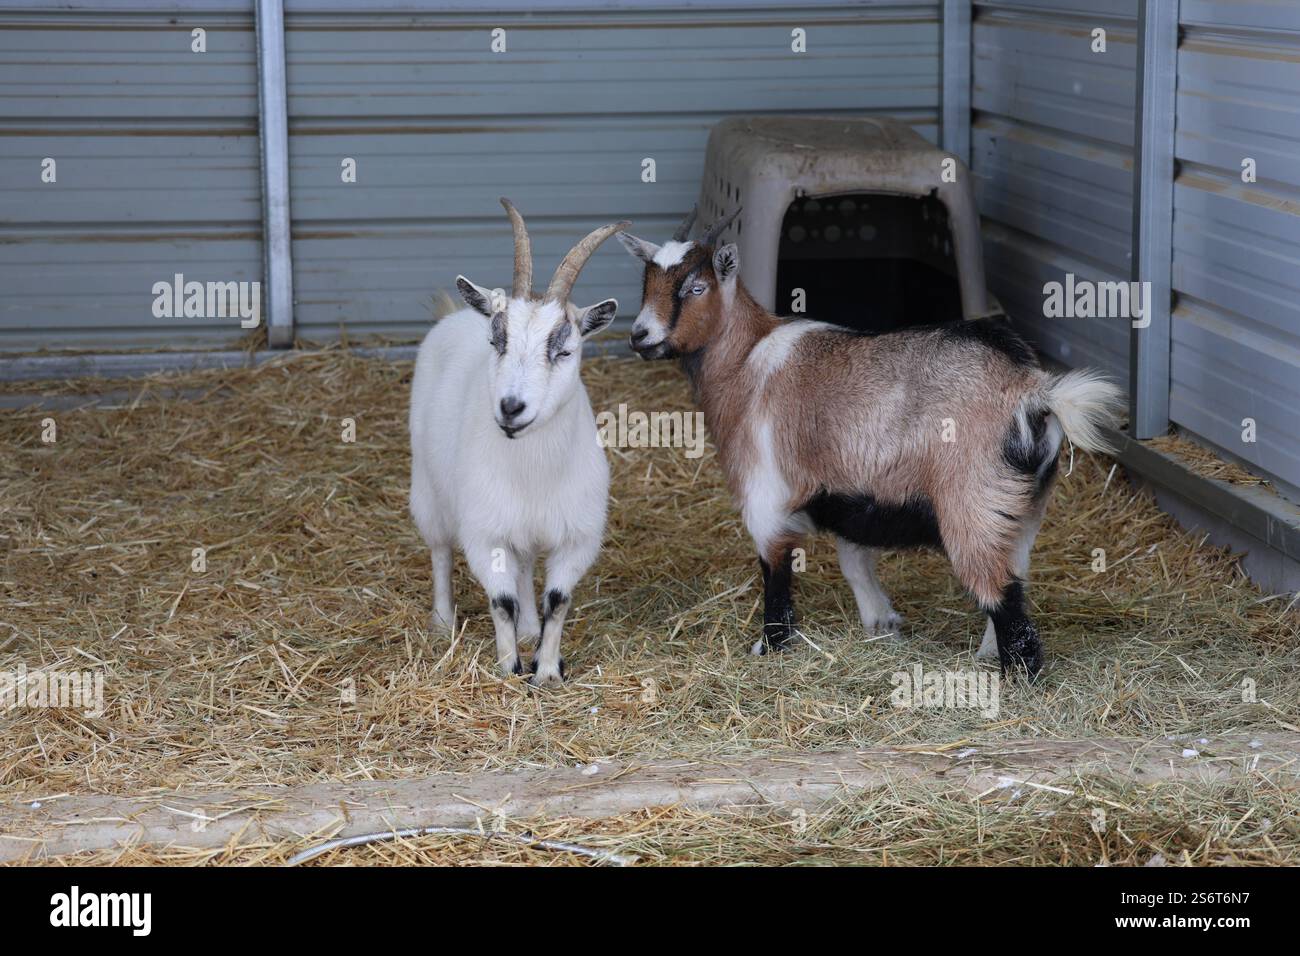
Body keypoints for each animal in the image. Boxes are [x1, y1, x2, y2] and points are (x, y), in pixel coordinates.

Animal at [410, 198, 627, 686]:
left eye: (565, 350)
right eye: (496, 341)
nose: (511, 408)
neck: (534, 471)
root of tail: (455, 314)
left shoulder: (577, 536)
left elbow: (558, 600)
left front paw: (546, 669)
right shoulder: (485, 531)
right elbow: (501, 600)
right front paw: (509, 667)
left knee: (526, 563)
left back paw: (529, 627)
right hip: (428, 489)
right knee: (439, 549)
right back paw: (442, 621)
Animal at [617, 210, 1123, 678]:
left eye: (696, 288)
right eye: (646, 282)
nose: (639, 335)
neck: (745, 360)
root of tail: (1031, 390)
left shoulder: (766, 494)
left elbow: (776, 568)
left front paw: (771, 645)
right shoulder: (847, 492)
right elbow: (854, 559)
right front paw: (882, 622)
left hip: (972, 502)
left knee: (1001, 591)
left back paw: (1019, 675)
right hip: (1024, 508)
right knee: (1014, 578)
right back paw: (988, 653)